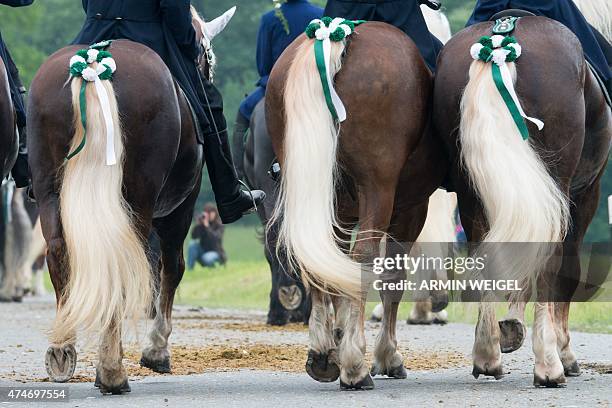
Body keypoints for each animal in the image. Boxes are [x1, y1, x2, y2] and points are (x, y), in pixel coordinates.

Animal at [25, 7, 230, 394]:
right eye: (206, 58)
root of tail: (93, 65)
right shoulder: (181, 210)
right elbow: (171, 268)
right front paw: (156, 350)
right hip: (140, 199)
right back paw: (112, 371)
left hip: (48, 192)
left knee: (58, 253)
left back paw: (62, 351)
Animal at [266, 21, 448, 388]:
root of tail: (335, 36)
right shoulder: (409, 210)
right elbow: (392, 275)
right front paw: (385, 355)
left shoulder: (344, 211)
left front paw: (335, 343)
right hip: (379, 191)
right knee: (363, 258)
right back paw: (354, 365)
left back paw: (322, 353)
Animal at [432, 15, 608, 386]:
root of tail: (501, 40)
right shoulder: (586, 194)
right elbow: (566, 271)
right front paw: (564, 351)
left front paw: (511, 325)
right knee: (551, 261)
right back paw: (549, 365)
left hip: (470, 194)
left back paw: (487, 355)